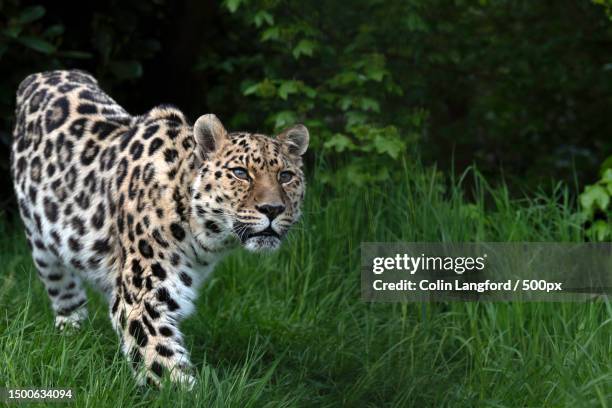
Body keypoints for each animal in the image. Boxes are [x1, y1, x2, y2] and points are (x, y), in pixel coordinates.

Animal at [13, 69, 310, 386]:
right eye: (240, 173)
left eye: (286, 176)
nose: (273, 209)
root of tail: (44, 73)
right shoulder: (140, 300)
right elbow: (162, 364)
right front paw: (186, 390)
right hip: (41, 244)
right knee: (65, 294)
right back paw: (71, 332)